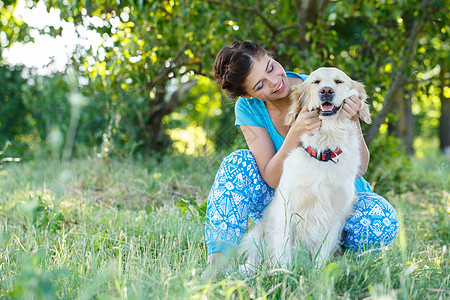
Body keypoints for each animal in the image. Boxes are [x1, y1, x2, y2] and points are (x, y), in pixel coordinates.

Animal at [241, 67, 370, 268]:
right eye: (315, 82)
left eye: (339, 81)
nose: (326, 91)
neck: (324, 150)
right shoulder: (287, 210)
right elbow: (284, 251)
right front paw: (283, 273)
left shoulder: (335, 216)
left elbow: (322, 253)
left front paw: (318, 273)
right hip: (258, 235)